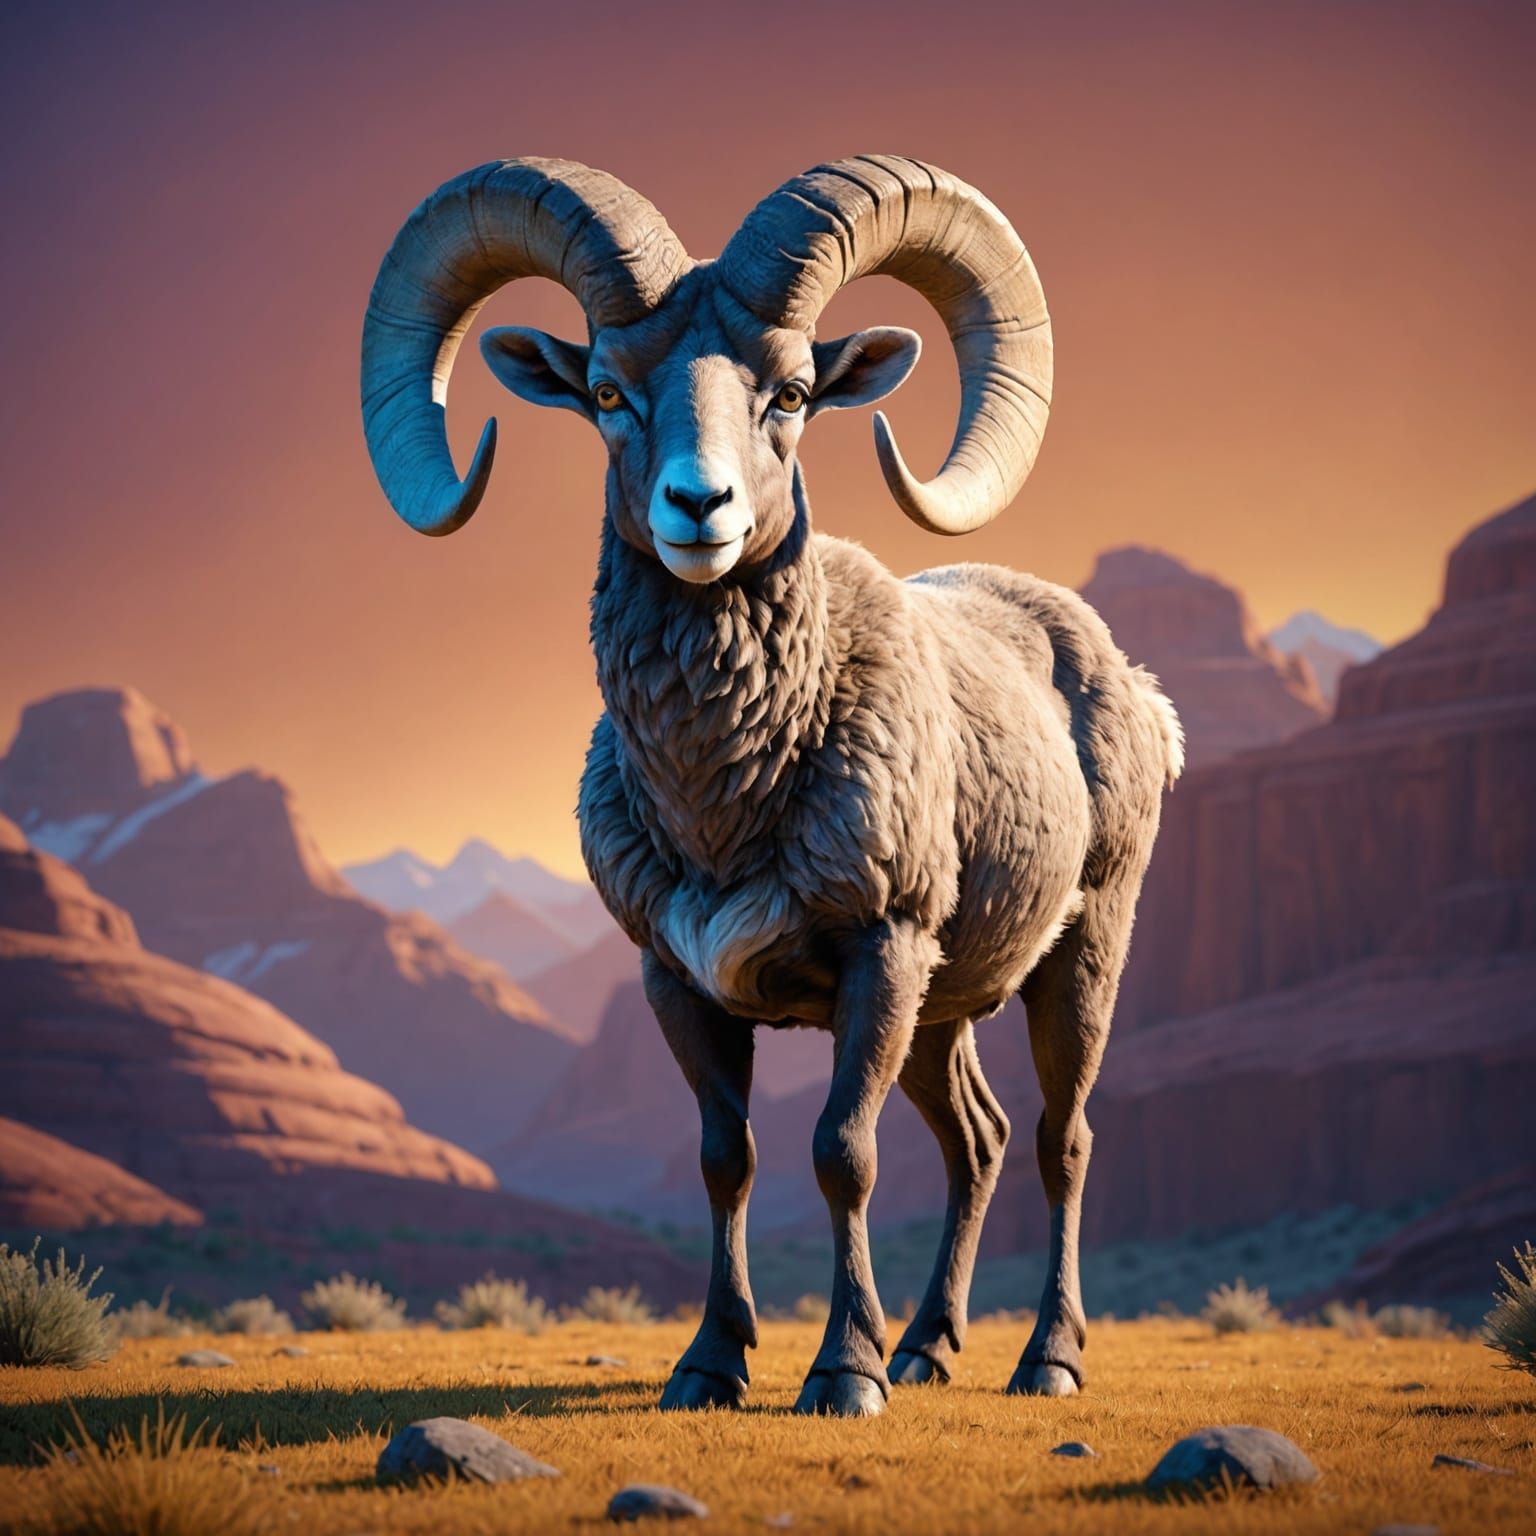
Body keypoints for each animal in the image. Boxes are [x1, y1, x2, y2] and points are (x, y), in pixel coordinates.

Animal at [360, 155, 1183, 1417]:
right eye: (608, 391)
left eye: (791, 391)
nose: (700, 510)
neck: (728, 796)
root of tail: (1135, 692)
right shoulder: (680, 980)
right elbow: (728, 1159)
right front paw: (711, 1365)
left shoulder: (879, 954)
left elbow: (841, 1154)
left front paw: (843, 1376)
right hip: (942, 1015)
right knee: (979, 1141)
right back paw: (929, 1349)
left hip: (1083, 949)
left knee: (1062, 1140)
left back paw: (1045, 1362)